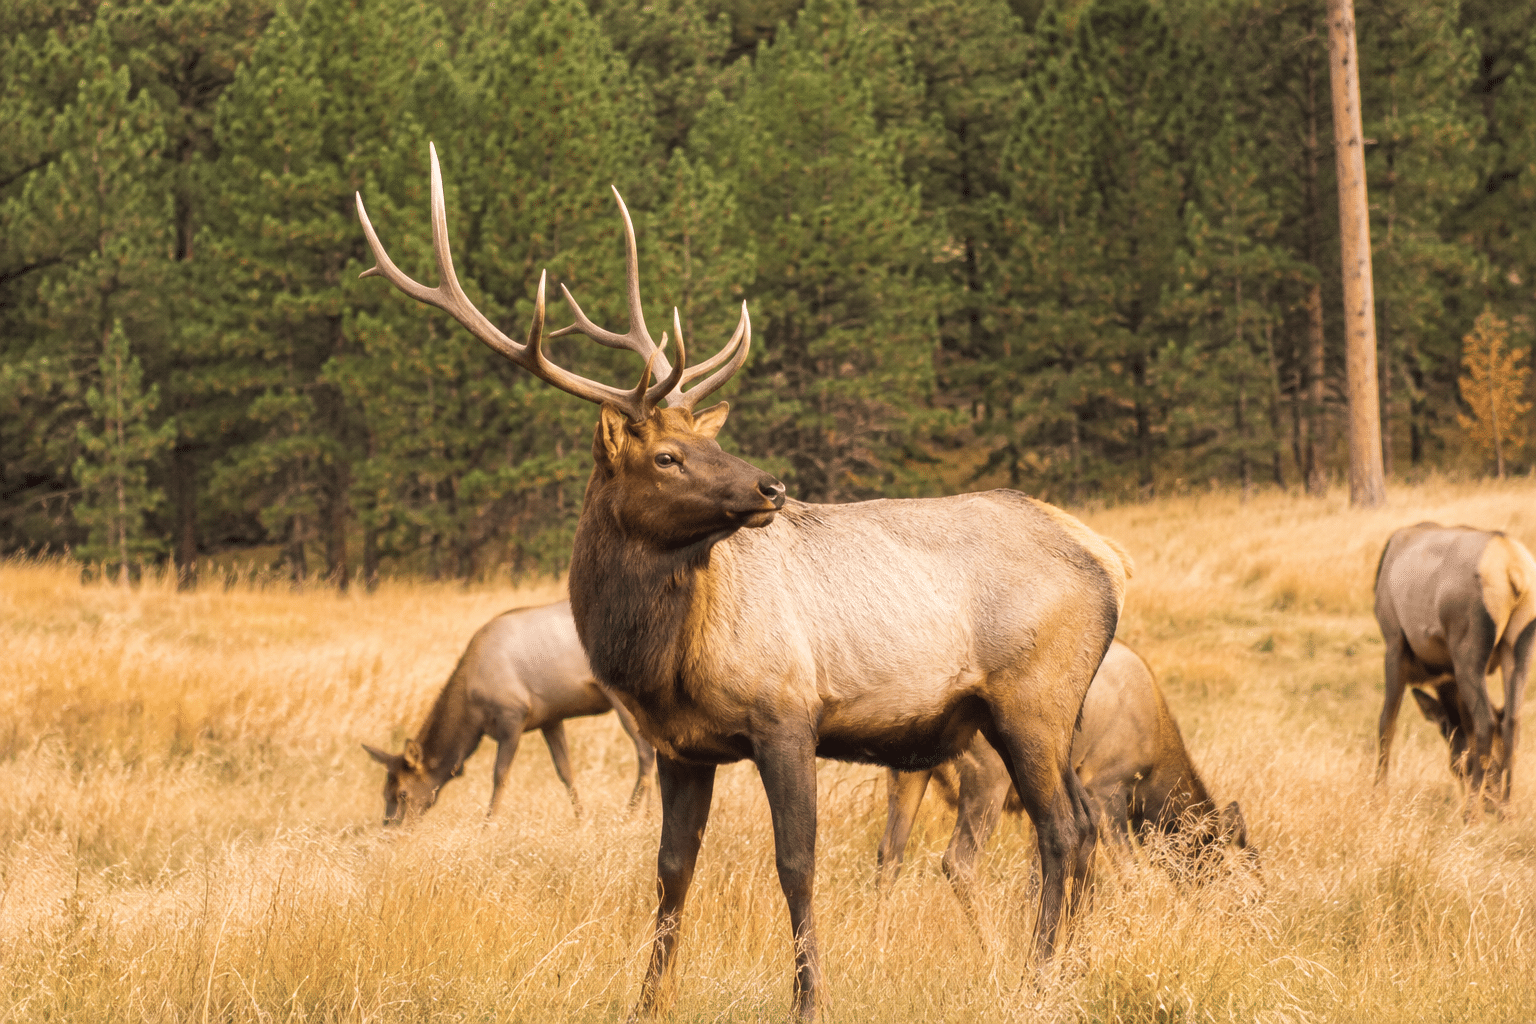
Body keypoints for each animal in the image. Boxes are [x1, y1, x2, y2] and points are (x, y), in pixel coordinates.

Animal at [362, 599, 655, 825]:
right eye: (384, 793)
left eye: (403, 793)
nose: (390, 830)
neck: (472, 715)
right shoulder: (550, 718)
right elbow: (566, 771)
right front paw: (581, 820)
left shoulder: (513, 717)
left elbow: (500, 776)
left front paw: (487, 826)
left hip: (619, 694)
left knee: (646, 752)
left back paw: (632, 816)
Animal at [877, 640, 1253, 927]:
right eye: (1233, 873)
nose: (1247, 925)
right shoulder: (1105, 789)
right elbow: (1129, 874)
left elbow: (1038, 875)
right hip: (987, 777)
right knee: (958, 861)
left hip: (909, 771)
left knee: (889, 853)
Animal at [1375, 522, 1535, 815]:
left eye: (1461, 767)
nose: (1490, 803)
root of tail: (1513, 570)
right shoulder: (1446, 674)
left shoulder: (1394, 644)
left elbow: (1386, 724)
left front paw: (1376, 798)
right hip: (1519, 647)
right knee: (1511, 721)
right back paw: (1506, 811)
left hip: (1467, 653)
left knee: (1485, 721)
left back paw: (1470, 814)